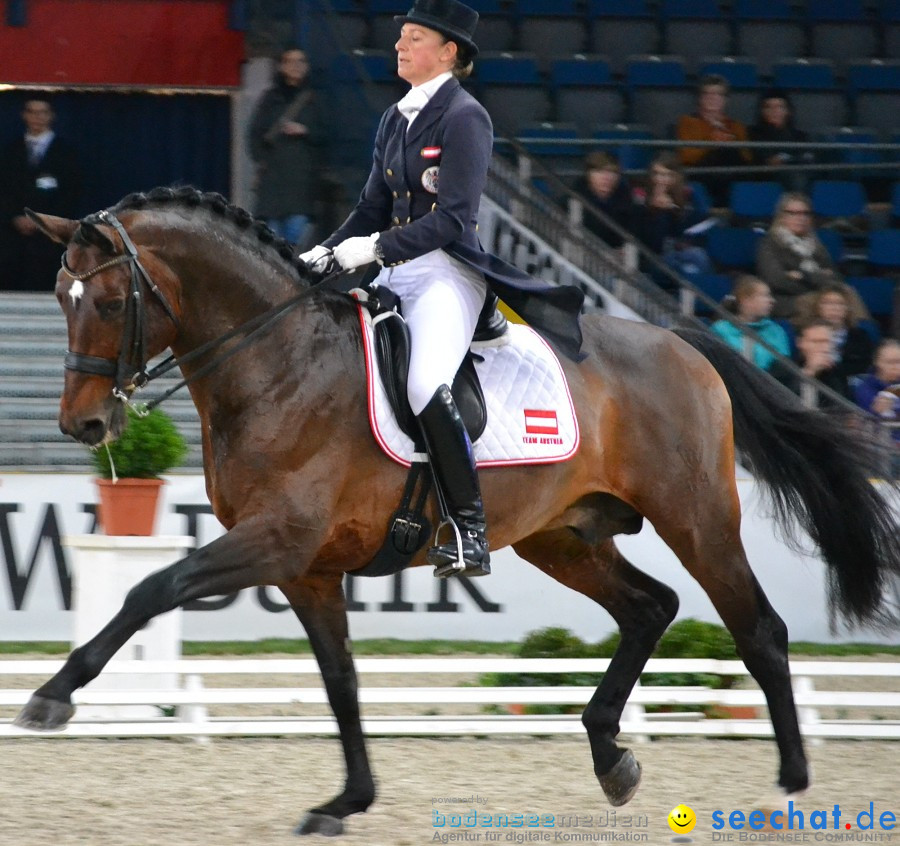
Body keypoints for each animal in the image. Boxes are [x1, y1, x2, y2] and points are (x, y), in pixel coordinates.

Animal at [15, 189, 900, 840]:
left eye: (109, 301)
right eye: (58, 297)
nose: (82, 426)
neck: (279, 363)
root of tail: (683, 341)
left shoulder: (275, 541)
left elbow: (150, 590)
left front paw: (54, 696)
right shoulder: (307, 568)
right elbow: (340, 679)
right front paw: (347, 802)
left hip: (698, 518)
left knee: (757, 629)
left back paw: (788, 790)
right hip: (562, 536)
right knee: (652, 607)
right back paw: (611, 757)